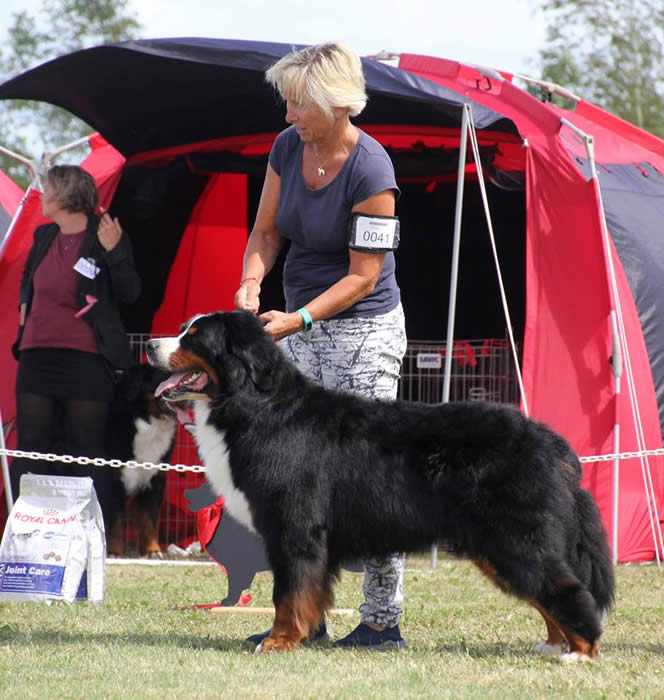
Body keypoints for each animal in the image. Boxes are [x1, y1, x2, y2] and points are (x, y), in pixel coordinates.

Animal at [145, 310, 612, 656]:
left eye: (194, 337)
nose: (149, 345)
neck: (256, 403)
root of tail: (548, 440)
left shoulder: (294, 529)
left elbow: (288, 593)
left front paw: (279, 641)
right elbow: (306, 593)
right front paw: (302, 637)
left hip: (513, 538)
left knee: (567, 589)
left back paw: (579, 652)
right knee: (548, 592)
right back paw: (555, 646)